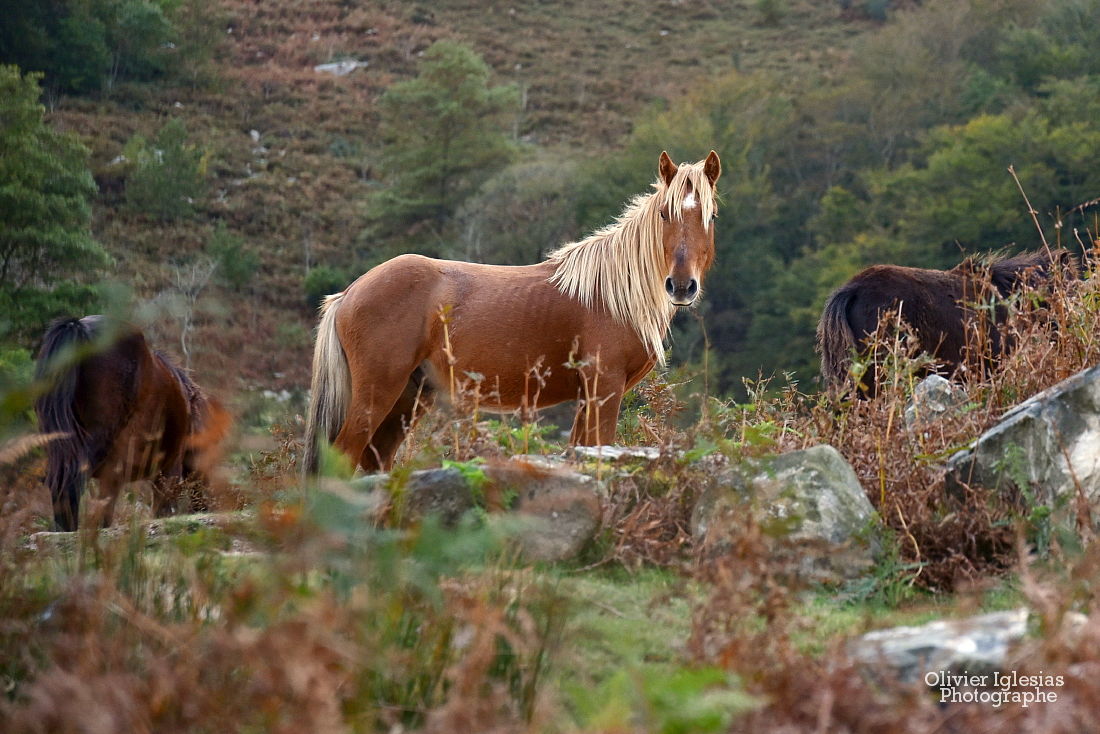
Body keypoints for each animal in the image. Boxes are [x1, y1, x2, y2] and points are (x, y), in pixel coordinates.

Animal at [303, 149, 721, 477]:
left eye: (711, 216)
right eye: (665, 214)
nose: (681, 286)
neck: (611, 292)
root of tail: (349, 293)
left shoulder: (588, 396)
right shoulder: (604, 388)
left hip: (411, 396)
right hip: (378, 392)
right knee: (344, 457)